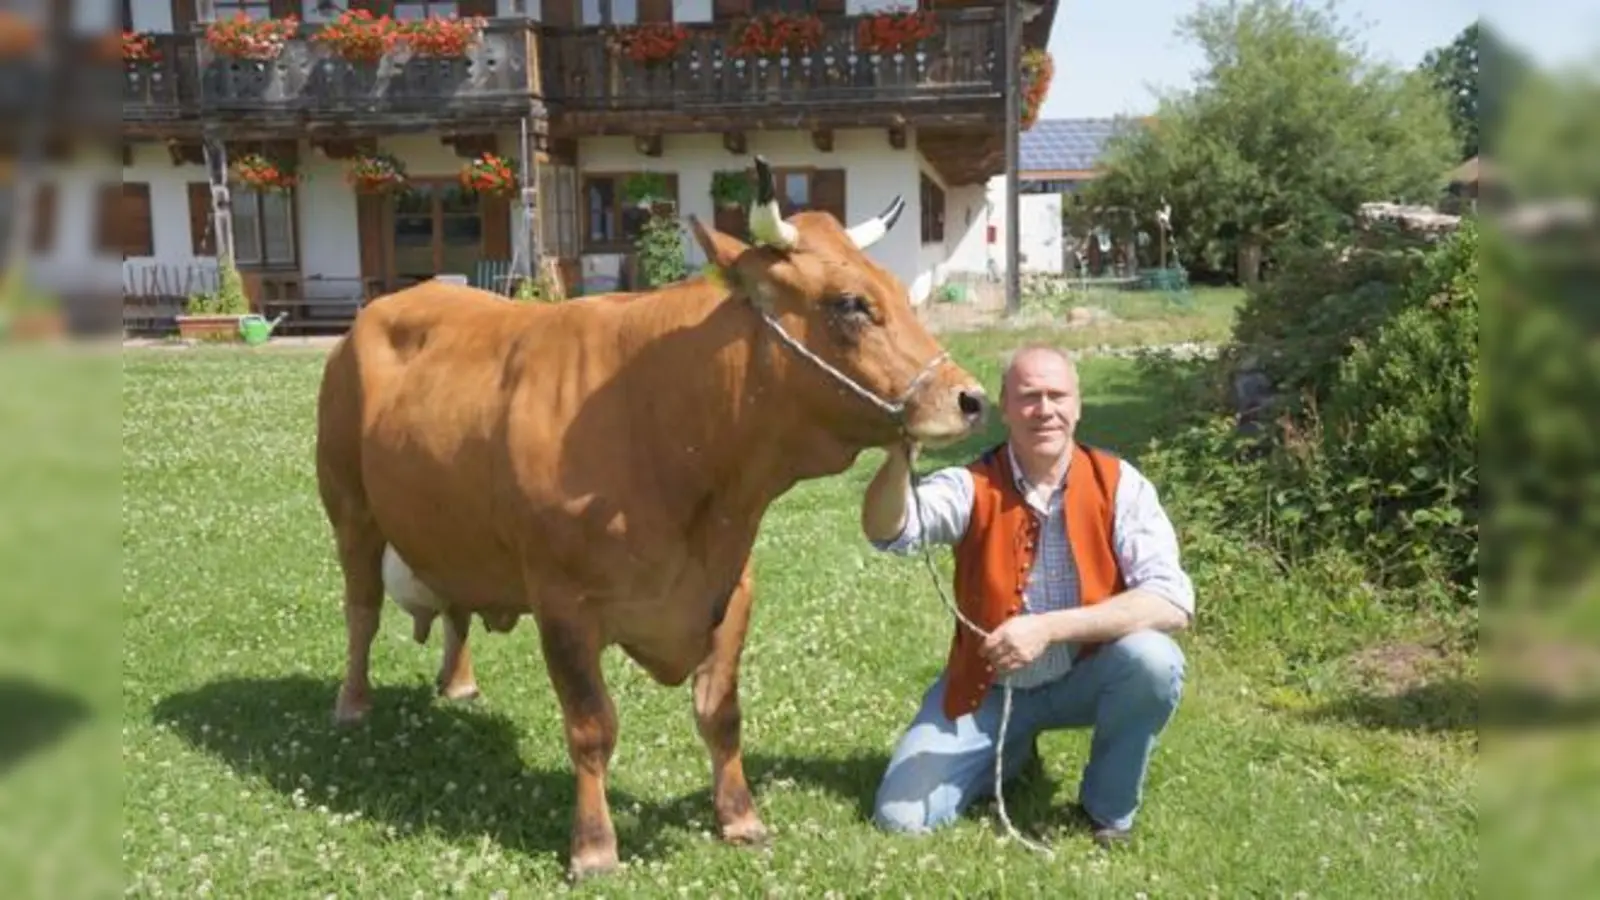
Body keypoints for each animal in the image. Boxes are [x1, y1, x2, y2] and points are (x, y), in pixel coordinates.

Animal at [313, 157, 989, 880]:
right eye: (850, 304)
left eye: (896, 290)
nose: (969, 399)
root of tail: (392, 304)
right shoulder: (563, 603)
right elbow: (591, 727)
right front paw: (593, 846)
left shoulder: (732, 585)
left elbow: (721, 713)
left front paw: (740, 817)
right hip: (350, 510)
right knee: (361, 611)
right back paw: (351, 704)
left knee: (454, 603)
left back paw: (459, 683)